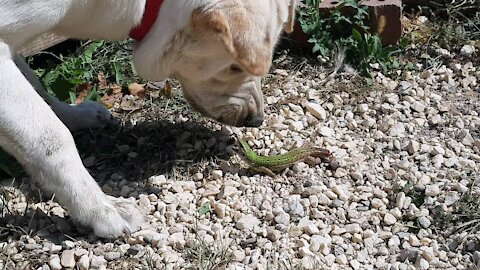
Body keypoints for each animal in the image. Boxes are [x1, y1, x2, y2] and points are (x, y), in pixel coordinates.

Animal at [0, 0, 296, 237]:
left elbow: (37, 85)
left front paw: (74, 115)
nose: (255, 120)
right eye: (234, 66)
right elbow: (50, 136)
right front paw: (102, 210)